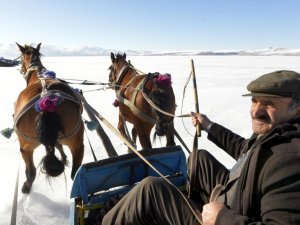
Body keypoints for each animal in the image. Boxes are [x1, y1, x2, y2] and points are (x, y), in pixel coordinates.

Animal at [14, 43, 84, 193]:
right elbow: (55, 145)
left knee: (31, 172)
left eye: (21, 58)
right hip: (76, 143)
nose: (21, 70)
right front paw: (63, 158)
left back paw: (26, 187)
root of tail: (46, 100)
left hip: (26, 146)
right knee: (75, 173)